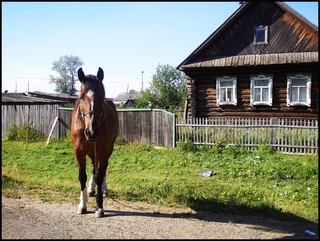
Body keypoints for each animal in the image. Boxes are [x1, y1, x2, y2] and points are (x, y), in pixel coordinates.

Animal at [71, 67, 119, 217]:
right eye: (81, 95)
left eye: (101, 96)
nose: (92, 132)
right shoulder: (78, 151)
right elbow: (82, 176)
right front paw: (82, 205)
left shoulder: (103, 150)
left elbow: (99, 175)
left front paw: (99, 207)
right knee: (94, 167)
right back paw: (91, 189)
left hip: (107, 150)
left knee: (102, 170)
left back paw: (103, 189)